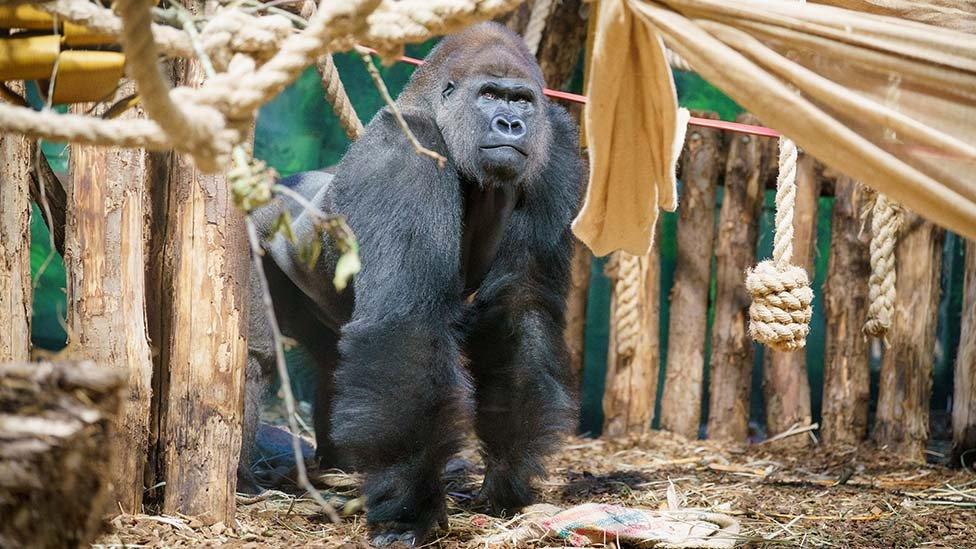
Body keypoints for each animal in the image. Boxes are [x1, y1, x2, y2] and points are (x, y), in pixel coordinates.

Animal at [241, 20, 584, 544]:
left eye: (522, 101)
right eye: (490, 95)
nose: (511, 125)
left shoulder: (558, 144)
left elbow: (520, 305)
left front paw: (509, 474)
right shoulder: (405, 152)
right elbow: (406, 322)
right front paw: (409, 507)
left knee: (334, 361)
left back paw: (340, 467)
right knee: (254, 356)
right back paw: (242, 479)